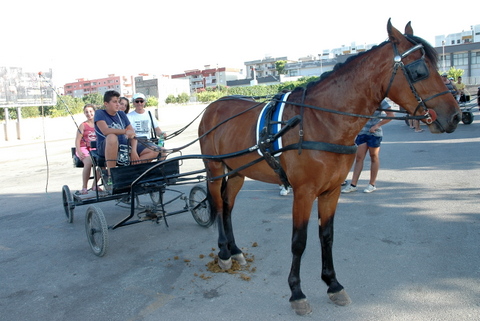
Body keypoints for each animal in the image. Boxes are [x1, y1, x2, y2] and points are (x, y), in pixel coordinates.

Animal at [197, 18, 460, 314]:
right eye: (419, 70)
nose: (455, 116)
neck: (321, 120)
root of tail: (214, 105)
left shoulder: (331, 191)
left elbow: (327, 236)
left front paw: (332, 284)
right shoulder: (303, 192)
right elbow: (299, 242)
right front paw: (297, 292)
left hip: (238, 172)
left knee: (228, 206)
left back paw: (235, 250)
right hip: (214, 169)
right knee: (219, 206)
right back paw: (223, 253)